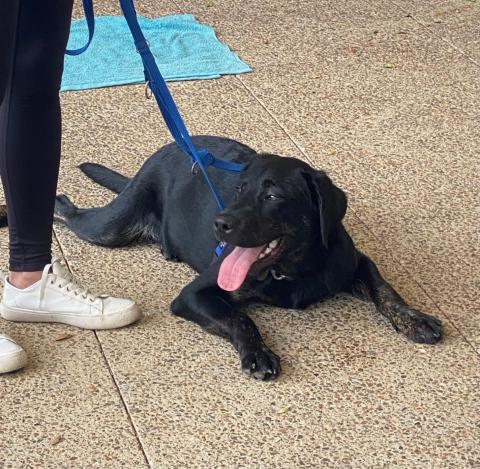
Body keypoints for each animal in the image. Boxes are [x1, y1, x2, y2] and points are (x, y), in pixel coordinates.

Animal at [53, 135, 442, 380]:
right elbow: (240, 318)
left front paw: (414, 319)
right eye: (240, 189)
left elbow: (385, 289)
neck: (293, 270)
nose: (219, 223)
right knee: (69, 212)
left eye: (272, 196)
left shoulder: (357, 262)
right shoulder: (193, 295)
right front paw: (257, 354)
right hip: (110, 228)